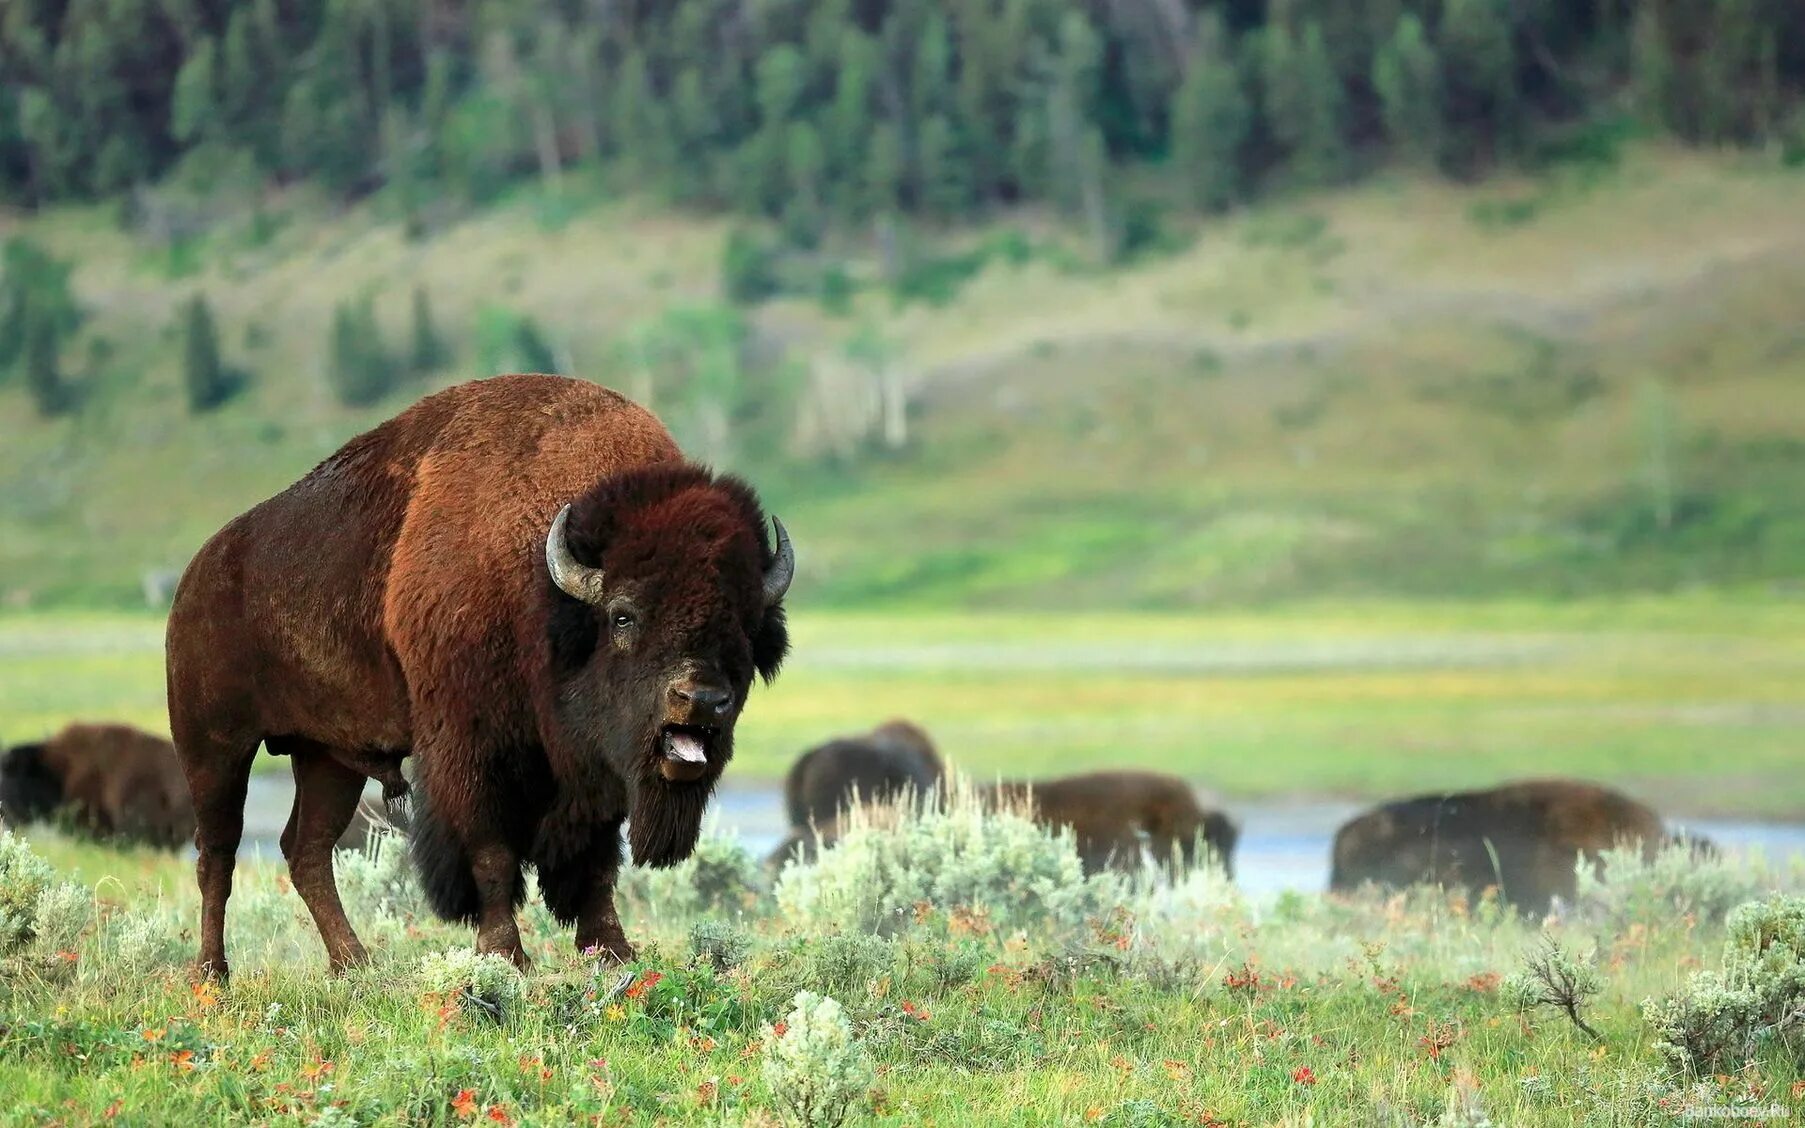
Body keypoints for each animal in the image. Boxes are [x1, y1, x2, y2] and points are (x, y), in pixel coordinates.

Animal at [169, 373, 790, 974]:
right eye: (623, 614)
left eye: (746, 624)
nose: (702, 698)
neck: (544, 590)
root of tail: (198, 571)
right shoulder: (473, 751)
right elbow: (490, 851)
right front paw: (505, 954)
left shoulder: (596, 778)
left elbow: (595, 864)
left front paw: (614, 952)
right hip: (215, 747)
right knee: (217, 854)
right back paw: (213, 973)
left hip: (325, 756)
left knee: (307, 850)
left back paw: (354, 966)